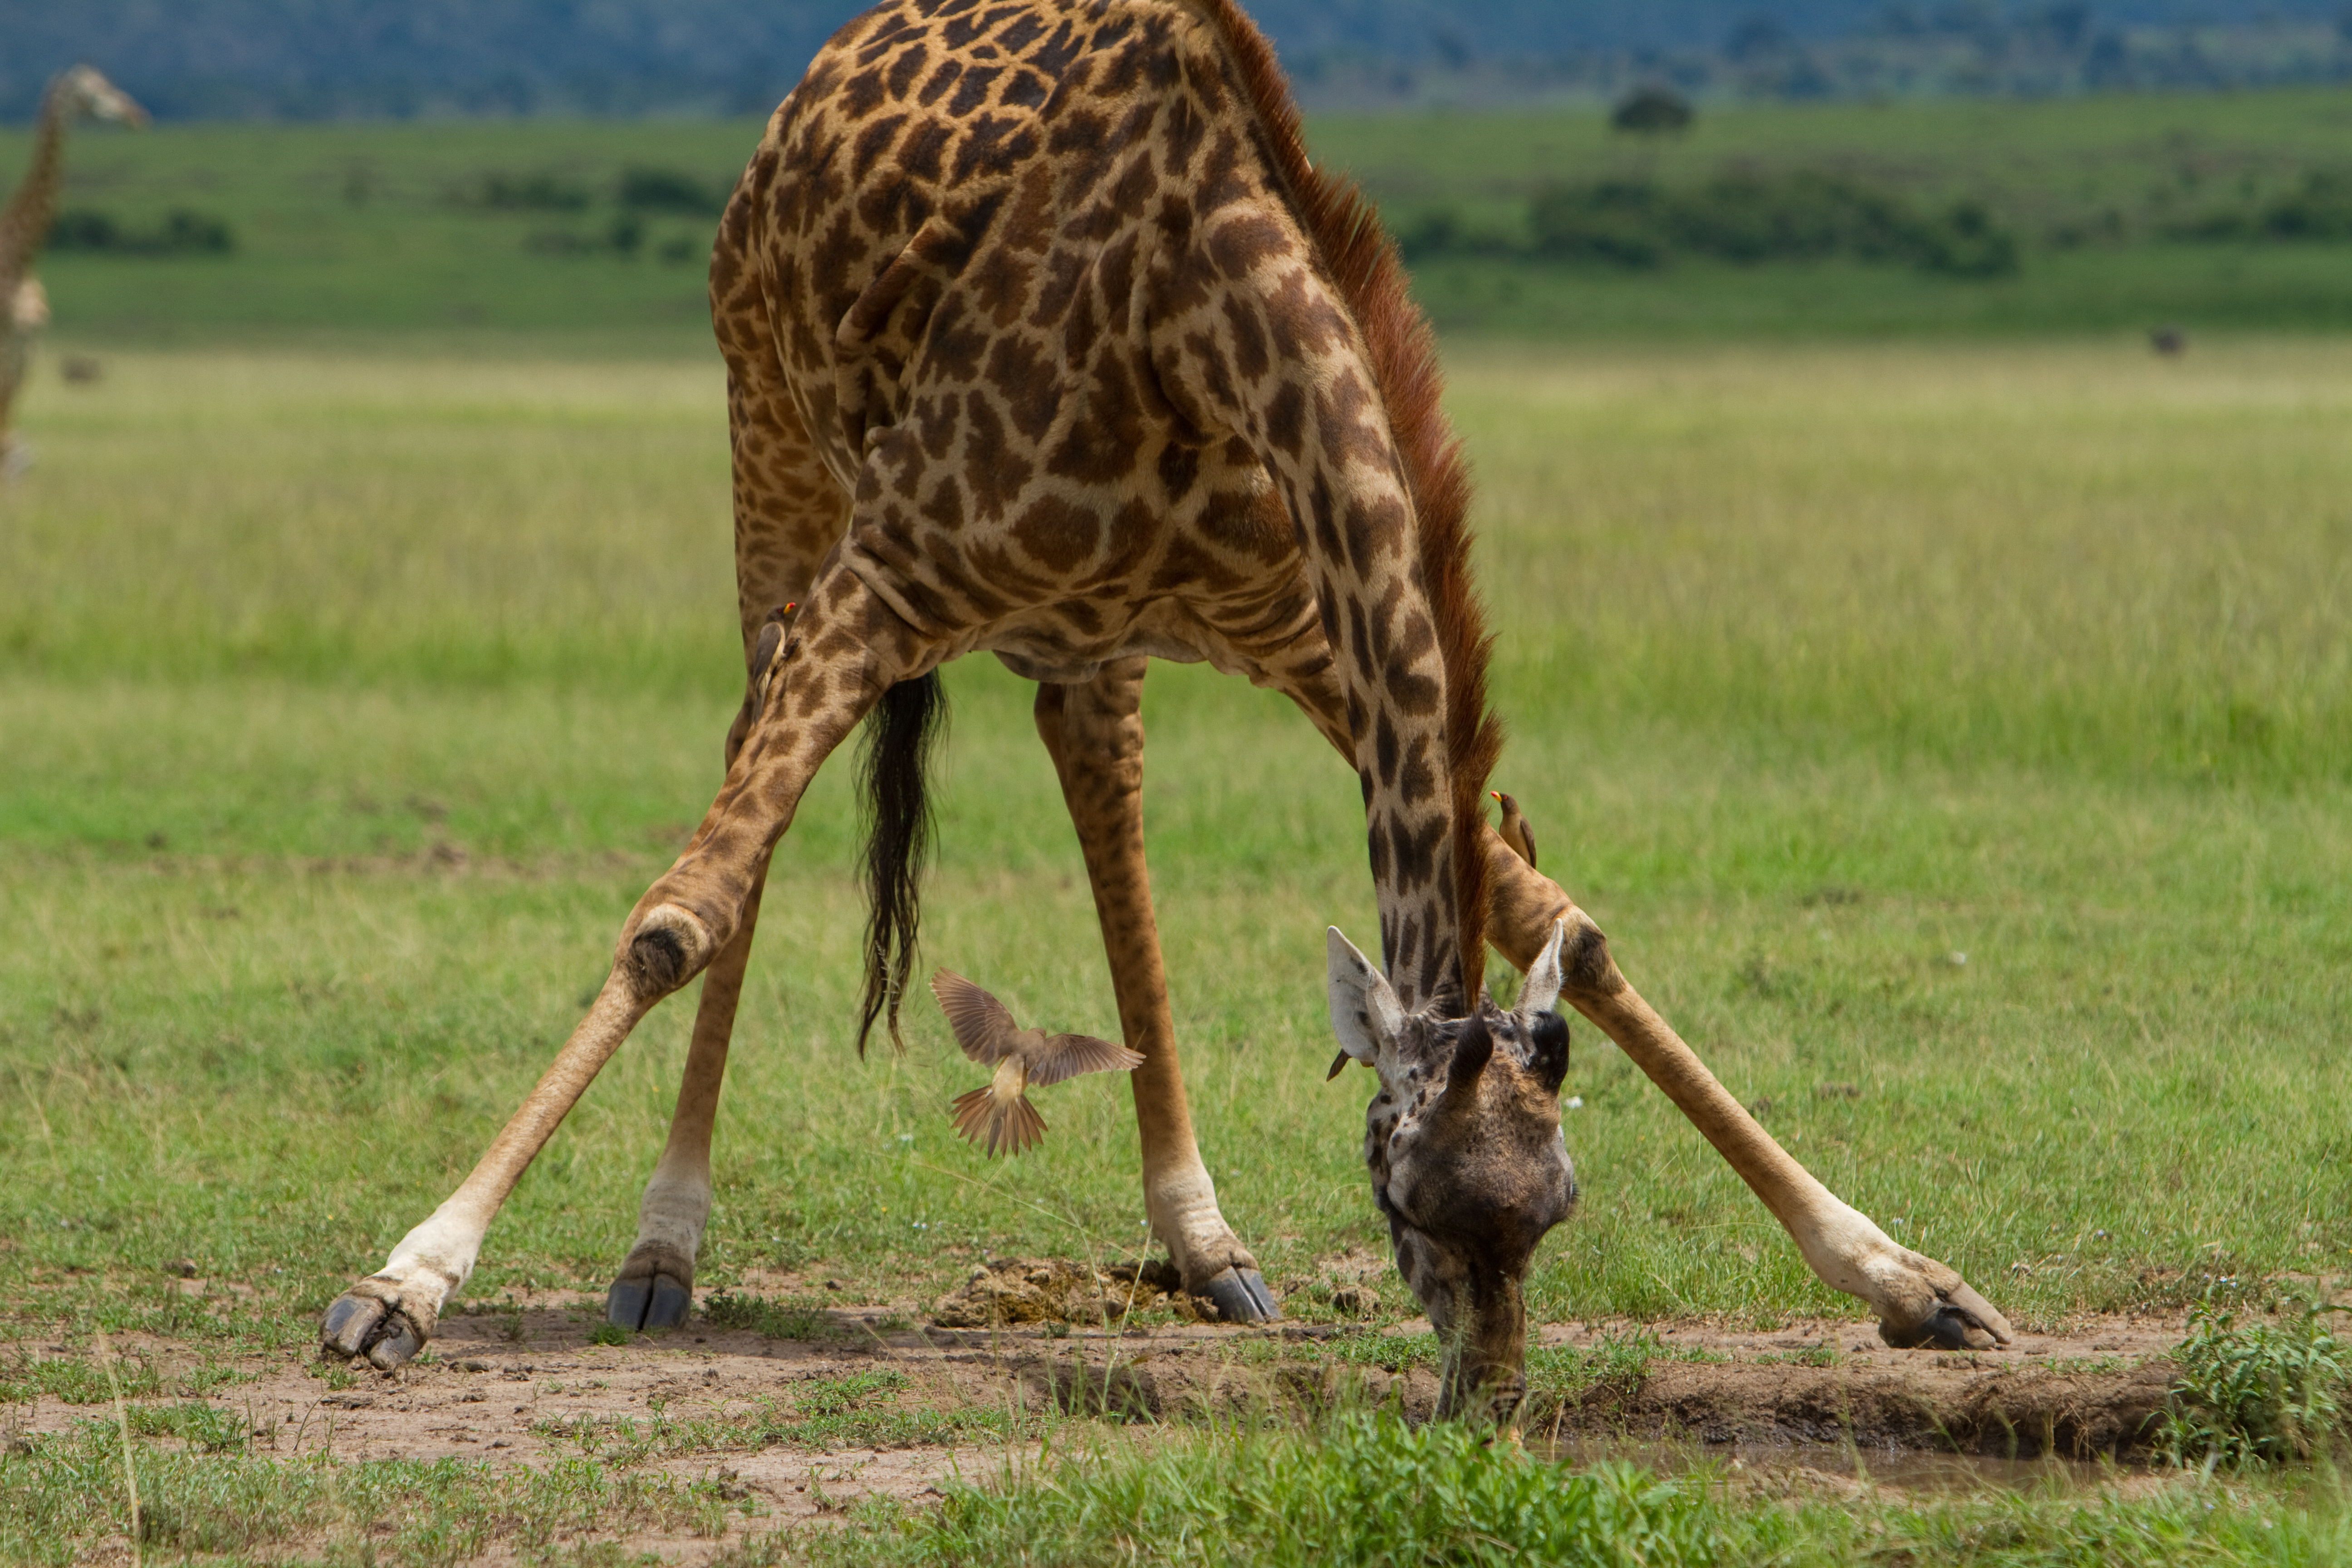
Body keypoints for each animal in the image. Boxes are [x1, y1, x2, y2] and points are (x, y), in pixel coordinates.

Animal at [320, 0, 2013, 1416]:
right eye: (1403, 1201)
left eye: (1558, 1207)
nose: (1486, 1402)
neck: (1196, 319)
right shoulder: (891, 570)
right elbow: (679, 916)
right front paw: (404, 1282)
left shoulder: (1314, 630)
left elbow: (1575, 933)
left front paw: (1908, 1279)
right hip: (777, 478)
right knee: (755, 821)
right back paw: (661, 1253)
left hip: (1088, 640)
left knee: (1106, 813)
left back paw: (1203, 1243)